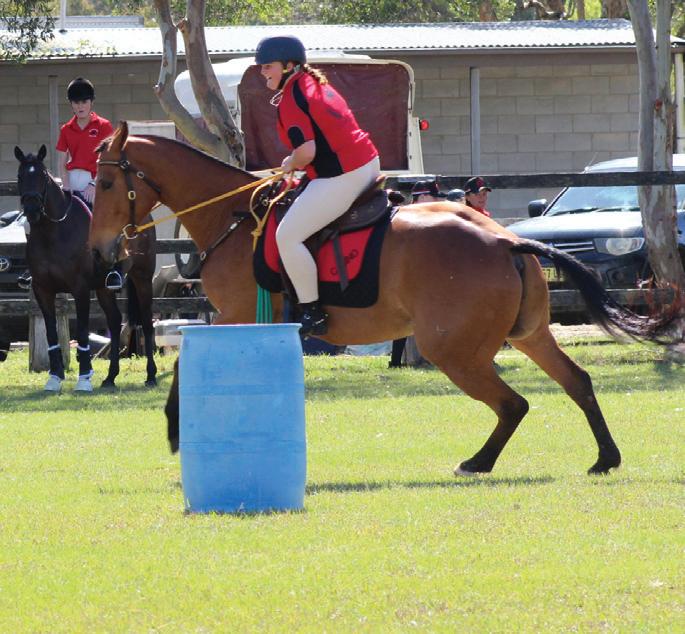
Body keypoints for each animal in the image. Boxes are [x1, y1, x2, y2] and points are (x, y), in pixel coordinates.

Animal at [14, 144, 158, 391]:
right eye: (20, 176)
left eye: (42, 176)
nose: (32, 209)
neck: (53, 231)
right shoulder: (43, 291)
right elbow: (51, 334)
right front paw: (55, 377)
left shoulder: (79, 289)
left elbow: (81, 332)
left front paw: (83, 378)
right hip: (103, 288)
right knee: (115, 320)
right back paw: (110, 377)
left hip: (142, 278)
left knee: (147, 322)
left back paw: (150, 375)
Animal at [89, 122, 680, 475]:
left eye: (106, 186)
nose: (99, 249)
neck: (230, 219)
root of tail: (505, 239)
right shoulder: (239, 321)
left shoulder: (237, 317)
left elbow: (184, 366)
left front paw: (174, 431)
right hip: (529, 334)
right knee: (577, 382)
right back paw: (605, 458)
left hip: (453, 350)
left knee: (514, 403)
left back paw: (478, 462)